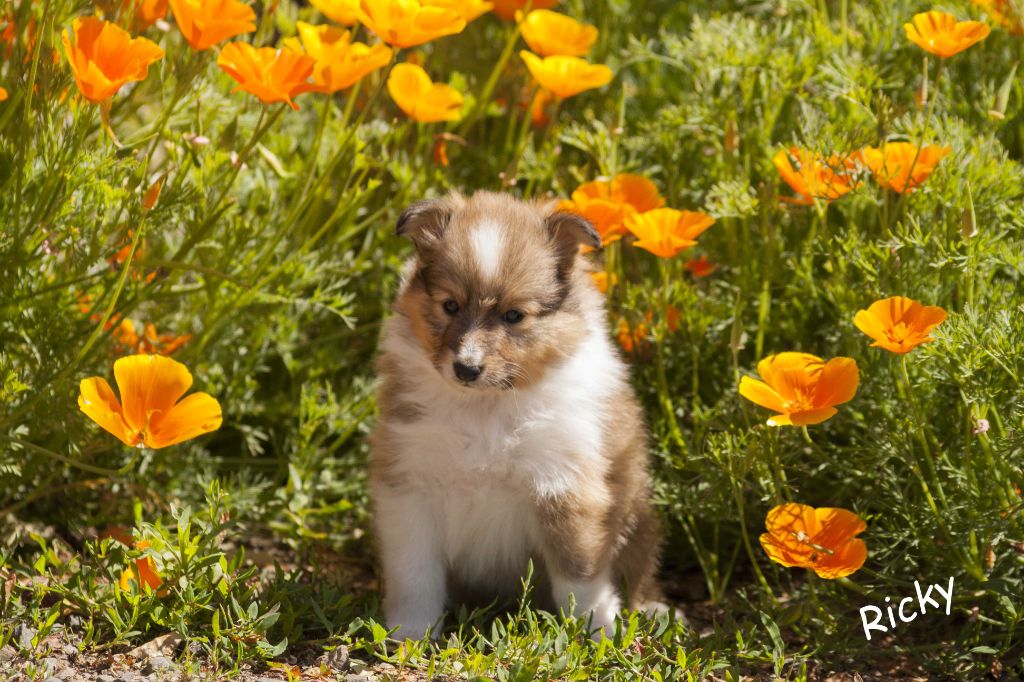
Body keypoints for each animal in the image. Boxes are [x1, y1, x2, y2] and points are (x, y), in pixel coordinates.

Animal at [368, 188, 663, 634]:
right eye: (450, 306)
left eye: (513, 316)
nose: (466, 368)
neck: (486, 408)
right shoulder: (410, 483)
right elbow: (415, 575)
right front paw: (410, 633)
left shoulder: (565, 485)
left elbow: (579, 577)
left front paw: (598, 631)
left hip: (636, 511)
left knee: (640, 567)